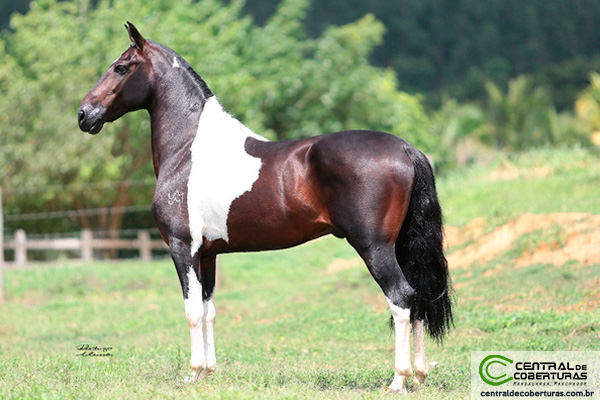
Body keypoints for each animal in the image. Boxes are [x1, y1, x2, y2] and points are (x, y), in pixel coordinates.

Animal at [77, 22, 452, 394]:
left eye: (121, 67)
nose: (84, 114)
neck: (189, 150)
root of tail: (405, 149)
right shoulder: (208, 254)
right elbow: (209, 310)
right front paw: (207, 372)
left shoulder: (184, 248)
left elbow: (192, 311)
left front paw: (193, 372)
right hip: (398, 245)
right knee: (417, 297)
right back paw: (420, 374)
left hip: (374, 247)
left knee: (401, 298)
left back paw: (398, 380)